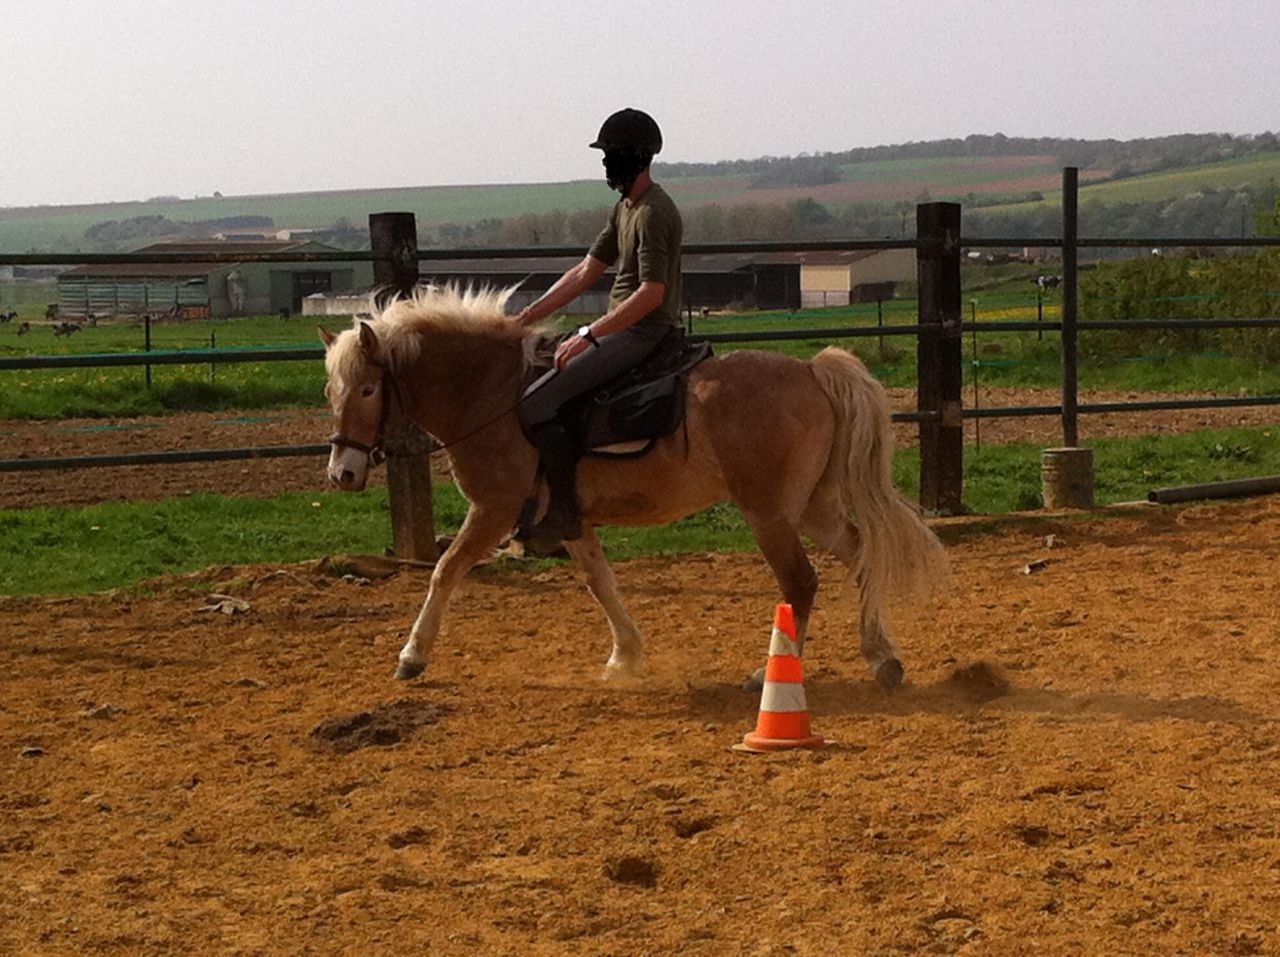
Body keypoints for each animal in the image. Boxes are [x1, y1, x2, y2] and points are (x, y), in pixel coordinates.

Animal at [320, 285, 946, 689]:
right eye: (332, 391)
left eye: (368, 390)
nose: (342, 474)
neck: (493, 395)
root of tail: (812, 370)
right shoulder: (570, 517)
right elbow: (601, 582)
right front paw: (627, 656)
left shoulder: (494, 509)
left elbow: (445, 572)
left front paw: (412, 656)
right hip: (811, 505)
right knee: (861, 555)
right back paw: (882, 658)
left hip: (769, 513)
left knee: (801, 581)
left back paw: (769, 673)